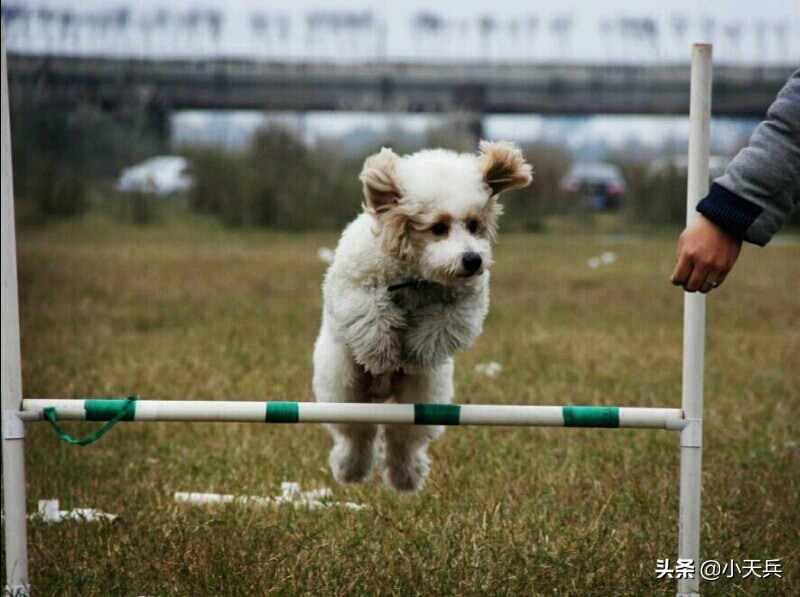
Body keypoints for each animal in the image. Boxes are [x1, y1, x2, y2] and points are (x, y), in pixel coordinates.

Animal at [312, 142, 532, 492]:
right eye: (438, 227)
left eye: (473, 224)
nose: (472, 259)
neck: (416, 277)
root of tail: (383, 392)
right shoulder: (354, 285)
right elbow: (369, 312)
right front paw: (382, 351)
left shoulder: (465, 304)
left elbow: (443, 324)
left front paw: (415, 350)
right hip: (344, 388)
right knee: (357, 432)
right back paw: (351, 468)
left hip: (422, 397)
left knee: (403, 438)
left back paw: (405, 476)